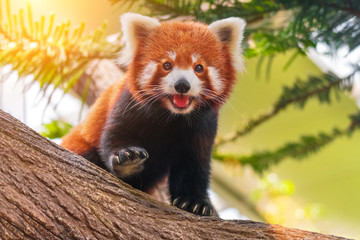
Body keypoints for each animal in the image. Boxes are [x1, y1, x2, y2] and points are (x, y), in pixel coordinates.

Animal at [62, 12, 248, 216]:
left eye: (198, 68)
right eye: (167, 65)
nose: (182, 85)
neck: (171, 116)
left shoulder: (203, 126)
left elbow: (194, 165)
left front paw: (194, 202)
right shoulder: (128, 104)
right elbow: (114, 135)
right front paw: (128, 160)